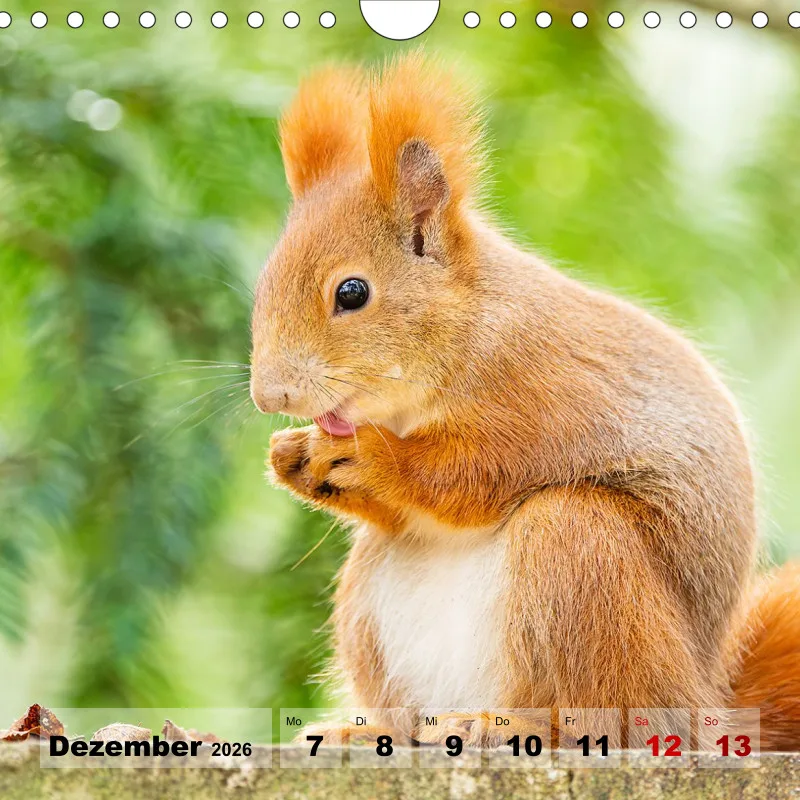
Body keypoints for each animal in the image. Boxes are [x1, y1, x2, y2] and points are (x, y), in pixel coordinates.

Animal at [250, 53, 800, 751]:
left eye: (352, 292)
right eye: (263, 283)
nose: (270, 395)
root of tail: (708, 711)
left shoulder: (547, 393)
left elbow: (471, 472)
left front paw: (378, 460)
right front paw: (291, 456)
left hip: (582, 553)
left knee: (604, 720)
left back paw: (505, 723)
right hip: (368, 596)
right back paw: (369, 732)